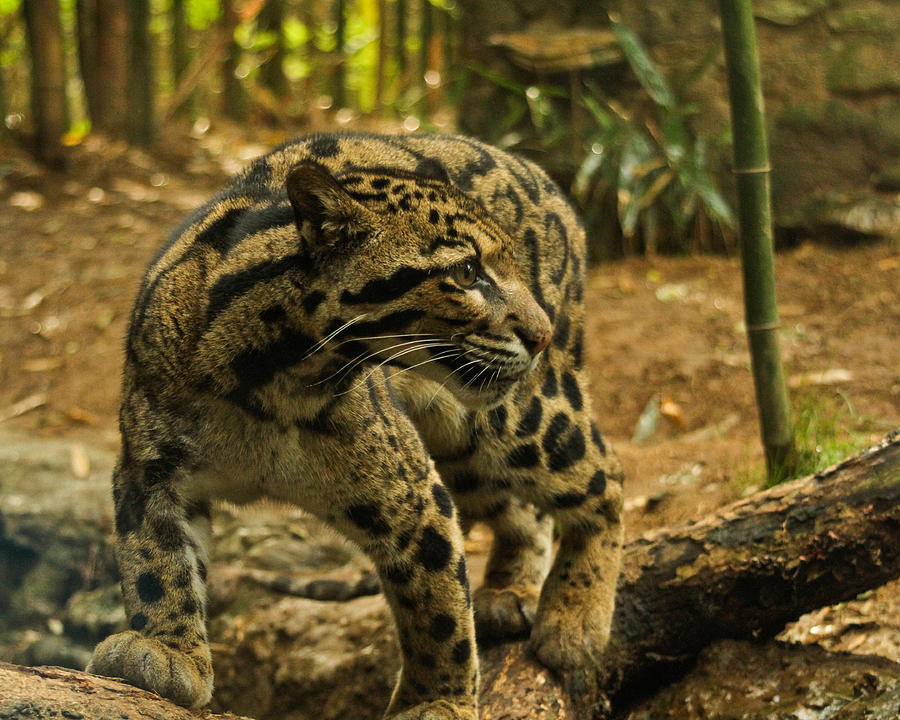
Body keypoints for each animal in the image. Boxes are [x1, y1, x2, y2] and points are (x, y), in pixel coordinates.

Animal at [89, 132, 624, 716]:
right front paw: (168, 650)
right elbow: (155, 564)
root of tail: (542, 176)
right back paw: (511, 591)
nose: (540, 332)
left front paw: (439, 701)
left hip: (520, 419)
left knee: (607, 478)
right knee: (526, 509)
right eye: (466, 273)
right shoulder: (149, 469)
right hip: (464, 451)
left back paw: (574, 621)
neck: (267, 380)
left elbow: (437, 612)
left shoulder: (412, 498)